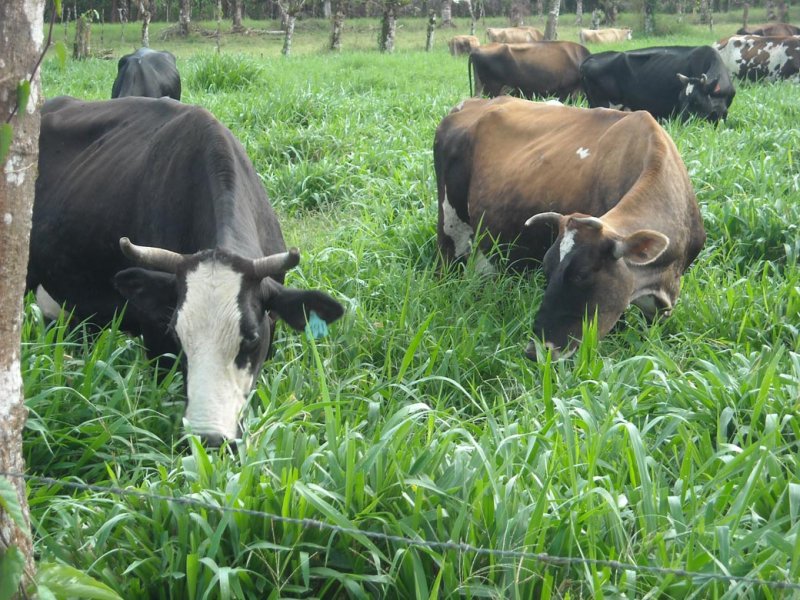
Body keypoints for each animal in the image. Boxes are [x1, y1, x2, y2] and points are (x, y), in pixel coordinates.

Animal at [580, 45, 736, 122]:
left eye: (697, 101)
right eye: (680, 99)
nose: (680, 124)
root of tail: (591, 57)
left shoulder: (722, 113)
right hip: (601, 104)